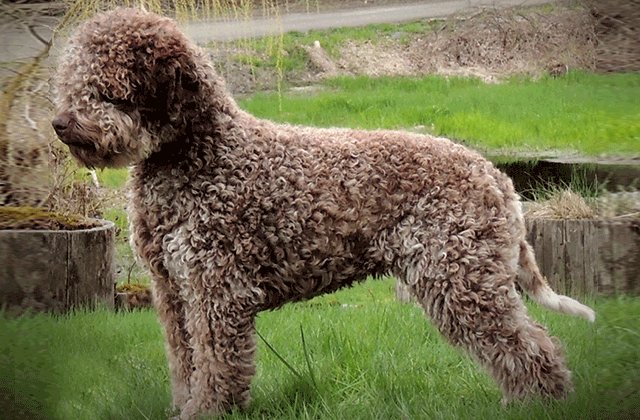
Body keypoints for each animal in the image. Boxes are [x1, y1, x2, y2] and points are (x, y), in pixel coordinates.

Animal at [53, 7, 596, 420]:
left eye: (105, 86)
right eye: (72, 80)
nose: (60, 123)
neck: (200, 154)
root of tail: (497, 177)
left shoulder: (216, 289)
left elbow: (216, 367)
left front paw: (206, 412)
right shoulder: (172, 289)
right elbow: (184, 362)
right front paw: (183, 408)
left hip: (460, 278)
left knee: (532, 349)